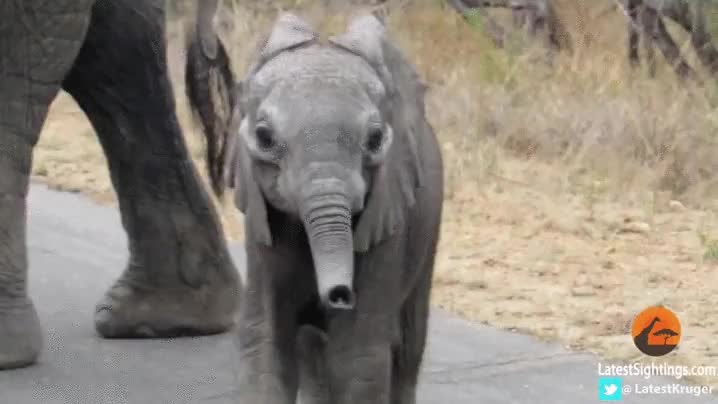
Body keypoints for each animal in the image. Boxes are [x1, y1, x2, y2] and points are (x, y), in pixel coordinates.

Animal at [185, 8, 444, 404]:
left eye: (375, 139)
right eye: (264, 137)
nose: (339, 294)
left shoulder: (389, 220)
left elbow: (356, 355)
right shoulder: (262, 228)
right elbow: (267, 343)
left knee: (406, 350)